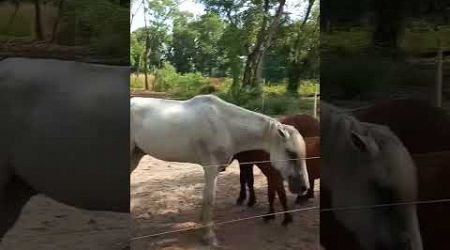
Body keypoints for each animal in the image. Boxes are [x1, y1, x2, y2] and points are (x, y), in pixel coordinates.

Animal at [130, 95, 310, 246]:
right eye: (291, 153)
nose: (304, 187)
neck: (226, 126)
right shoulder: (211, 168)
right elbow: (210, 199)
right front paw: (208, 236)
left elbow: (206, 198)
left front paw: (202, 224)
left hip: (135, 156)